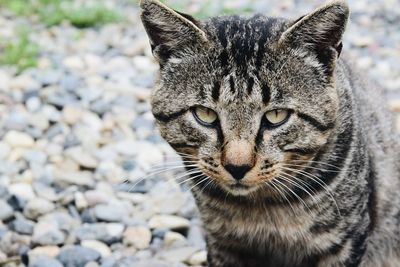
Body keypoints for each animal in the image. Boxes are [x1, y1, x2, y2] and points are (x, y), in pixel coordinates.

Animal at [140, 0, 400, 266]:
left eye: (276, 116)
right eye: (205, 114)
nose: (237, 166)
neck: (263, 209)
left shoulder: (344, 242)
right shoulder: (222, 244)